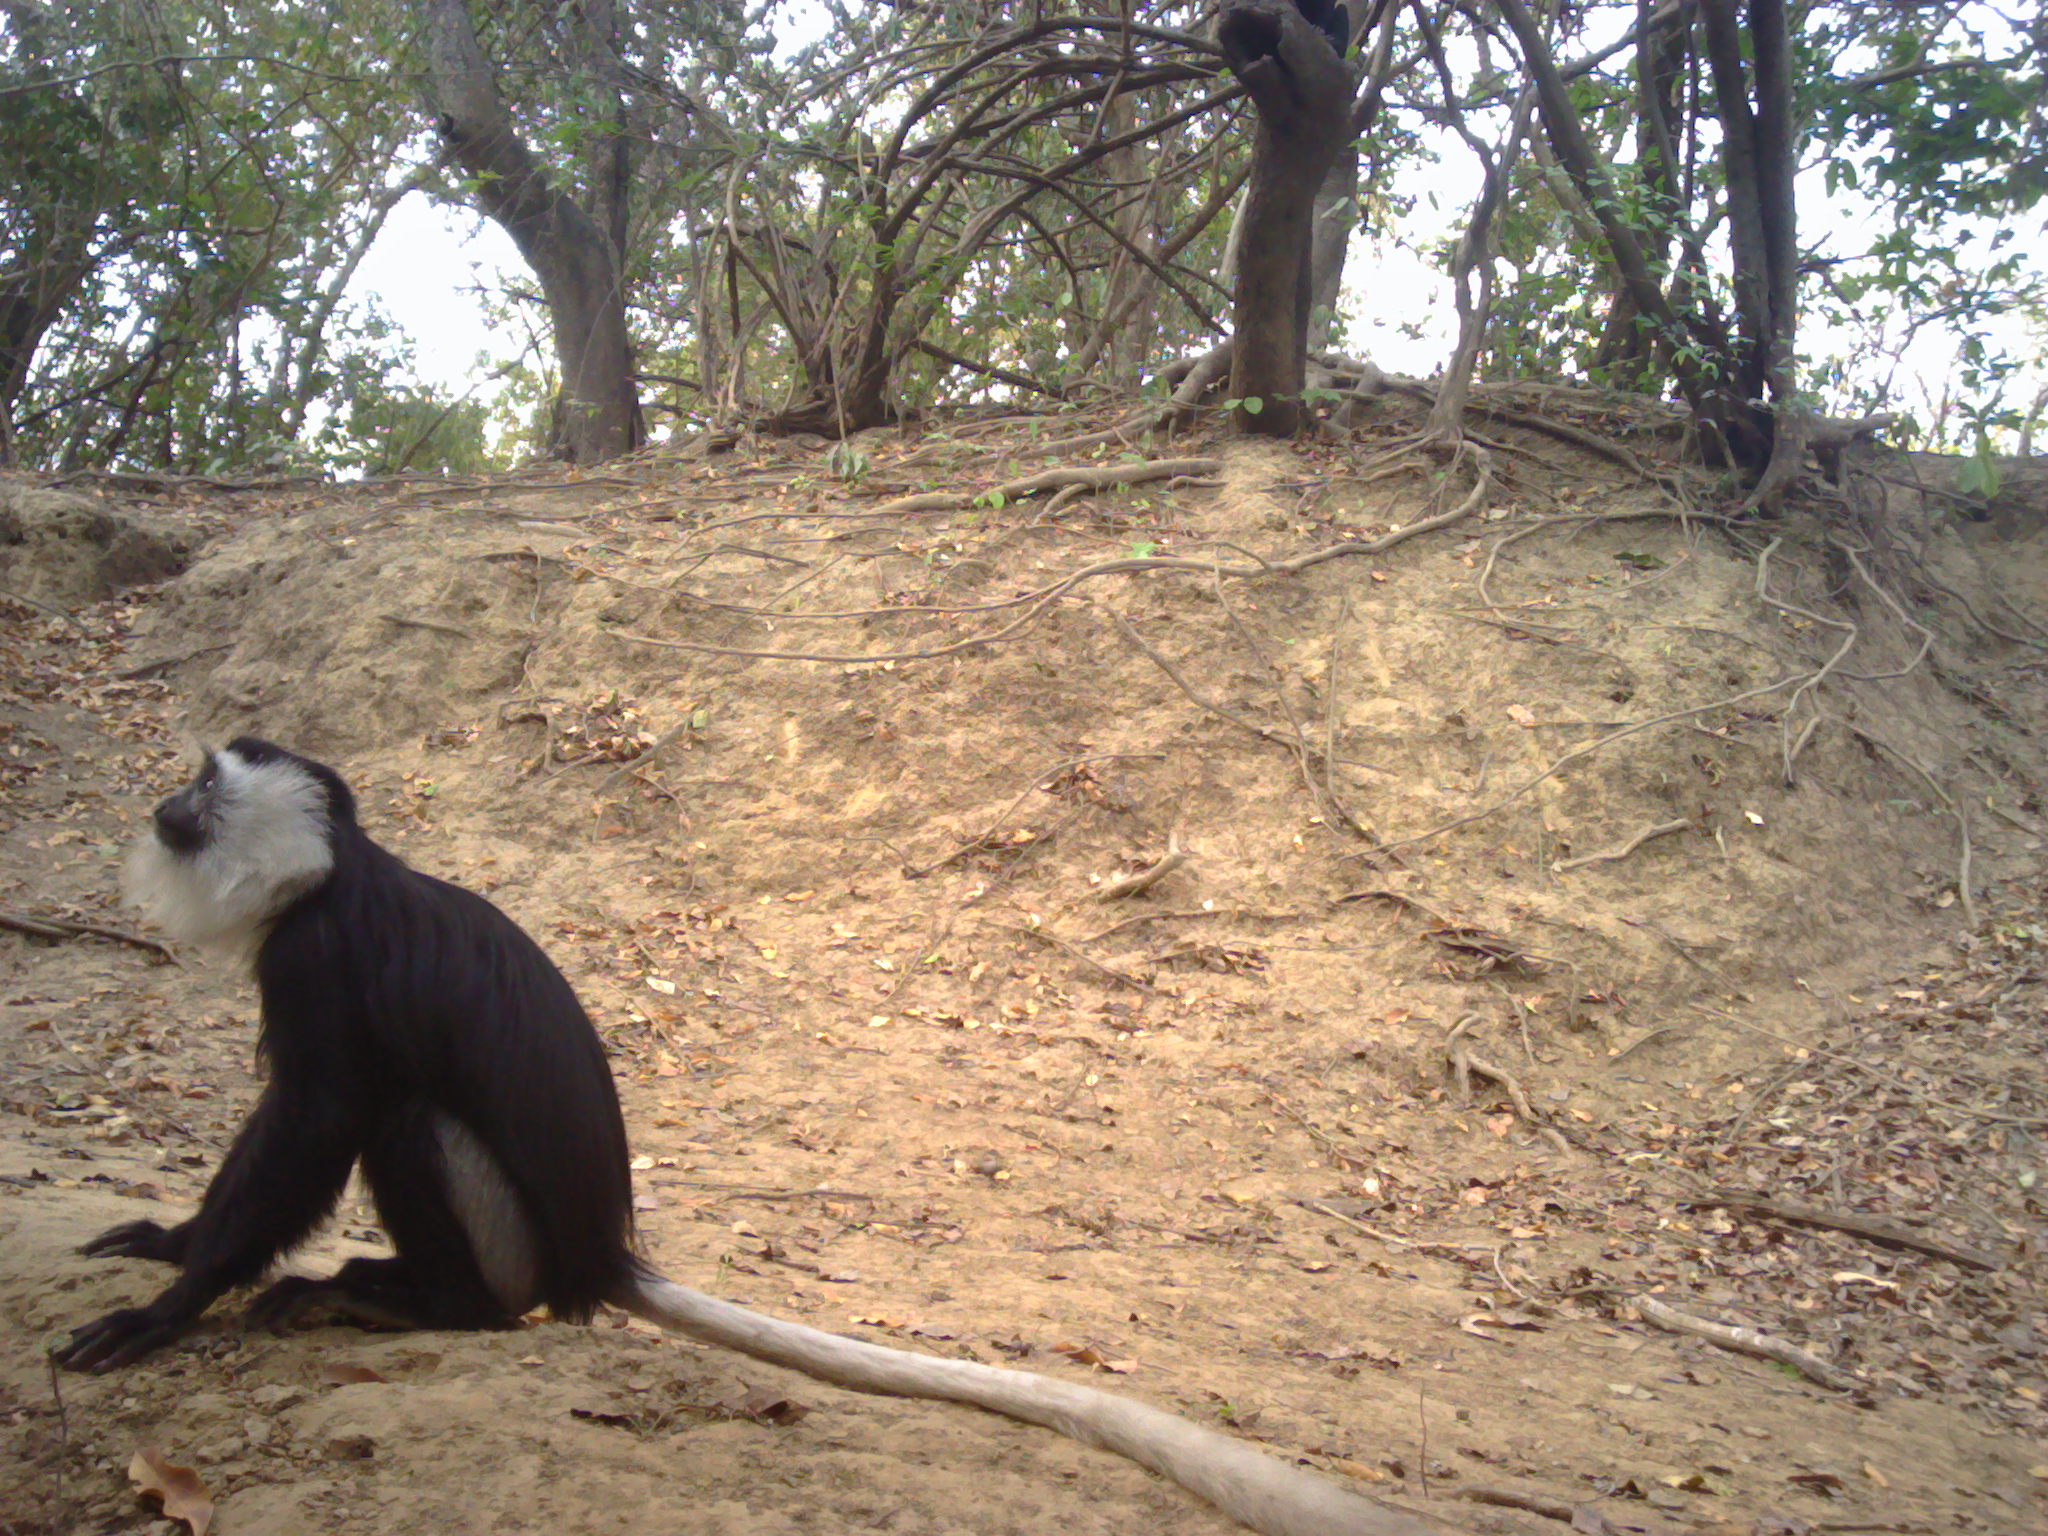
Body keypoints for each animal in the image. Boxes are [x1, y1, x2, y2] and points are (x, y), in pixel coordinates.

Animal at [48, 741, 1425, 1536]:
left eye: (206, 788)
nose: (163, 801)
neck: (330, 874)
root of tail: (597, 1259)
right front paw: (163, 1242)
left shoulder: (318, 958)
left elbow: (315, 1119)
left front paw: (172, 1304)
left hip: (506, 1244)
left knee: (407, 1126)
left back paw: (411, 1303)